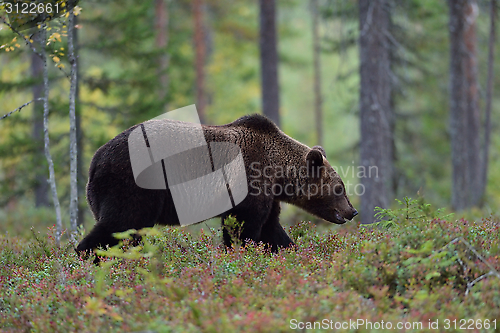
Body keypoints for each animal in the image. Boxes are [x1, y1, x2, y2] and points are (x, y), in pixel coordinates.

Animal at [75, 114, 356, 254]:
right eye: (340, 188)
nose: (352, 211)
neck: (277, 172)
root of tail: (95, 160)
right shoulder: (248, 182)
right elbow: (245, 228)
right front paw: (242, 253)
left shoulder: (267, 194)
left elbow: (271, 228)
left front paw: (288, 250)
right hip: (133, 184)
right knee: (122, 223)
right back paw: (88, 254)